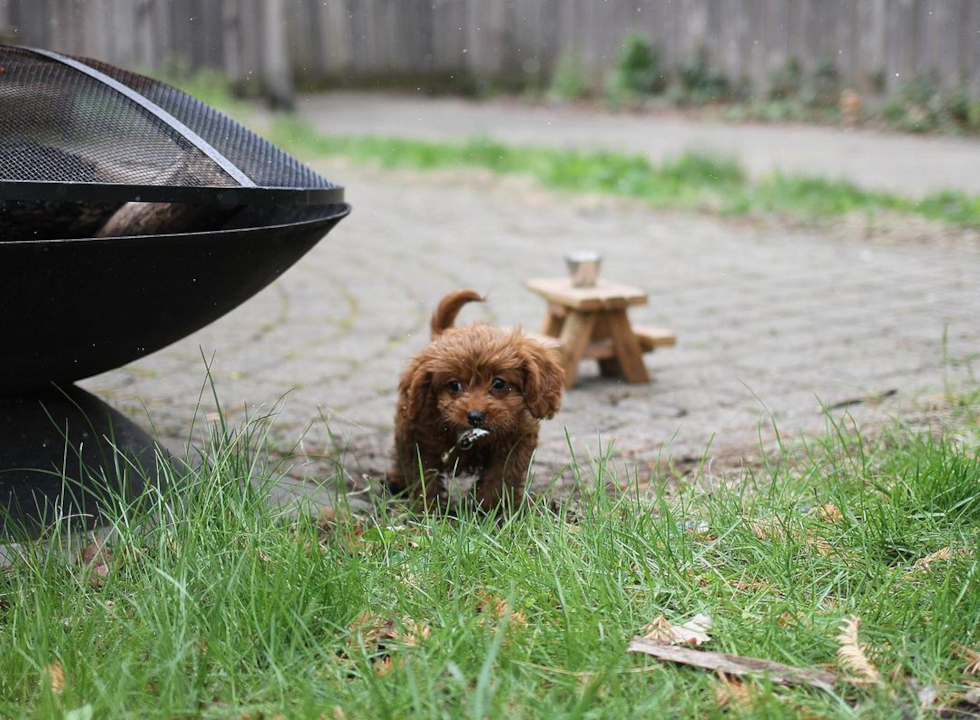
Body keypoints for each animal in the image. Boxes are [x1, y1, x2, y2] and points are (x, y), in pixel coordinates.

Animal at [386, 288, 564, 512]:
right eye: (454, 385)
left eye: (499, 383)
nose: (475, 416)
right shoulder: (416, 437)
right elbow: (423, 476)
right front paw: (429, 511)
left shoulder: (517, 440)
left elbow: (502, 475)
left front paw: (490, 509)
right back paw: (397, 481)